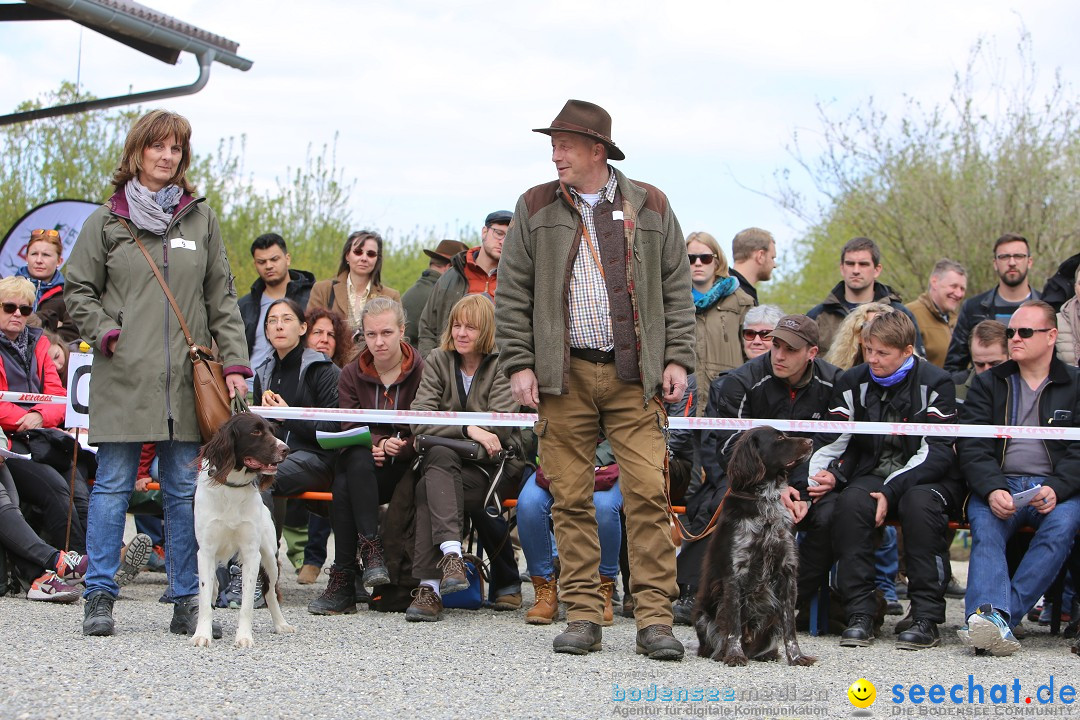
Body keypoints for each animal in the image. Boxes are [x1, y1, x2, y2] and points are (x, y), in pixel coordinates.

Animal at [194, 410, 293, 647]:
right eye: (255, 432)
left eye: (271, 430)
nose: (285, 449)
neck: (232, 488)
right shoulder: (206, 551)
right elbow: (204, 596)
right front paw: (202, 634)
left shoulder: (251, 553)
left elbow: (247, 602)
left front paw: (244, 637)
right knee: (213, 588)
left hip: (270, 558)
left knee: (270, 592)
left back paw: (281, 624)